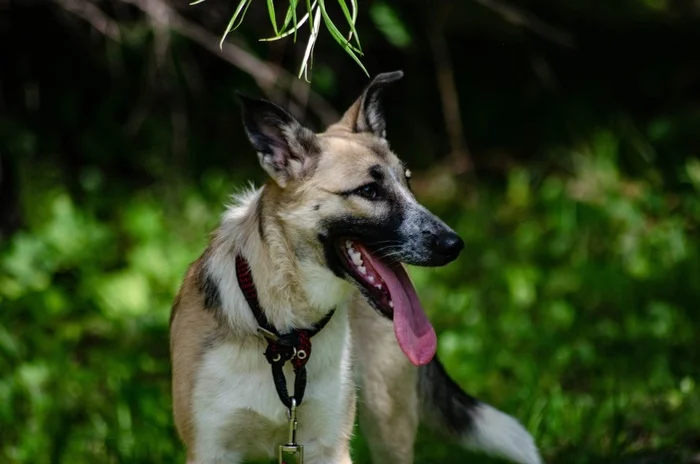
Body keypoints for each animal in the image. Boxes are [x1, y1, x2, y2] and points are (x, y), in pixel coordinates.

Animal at [170, 70, 540, 462]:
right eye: (369, 191)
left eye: (408, 181)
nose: (454, 245)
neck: (285, 331)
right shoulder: (211, 448)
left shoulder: (329, 446)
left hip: (387, 416)